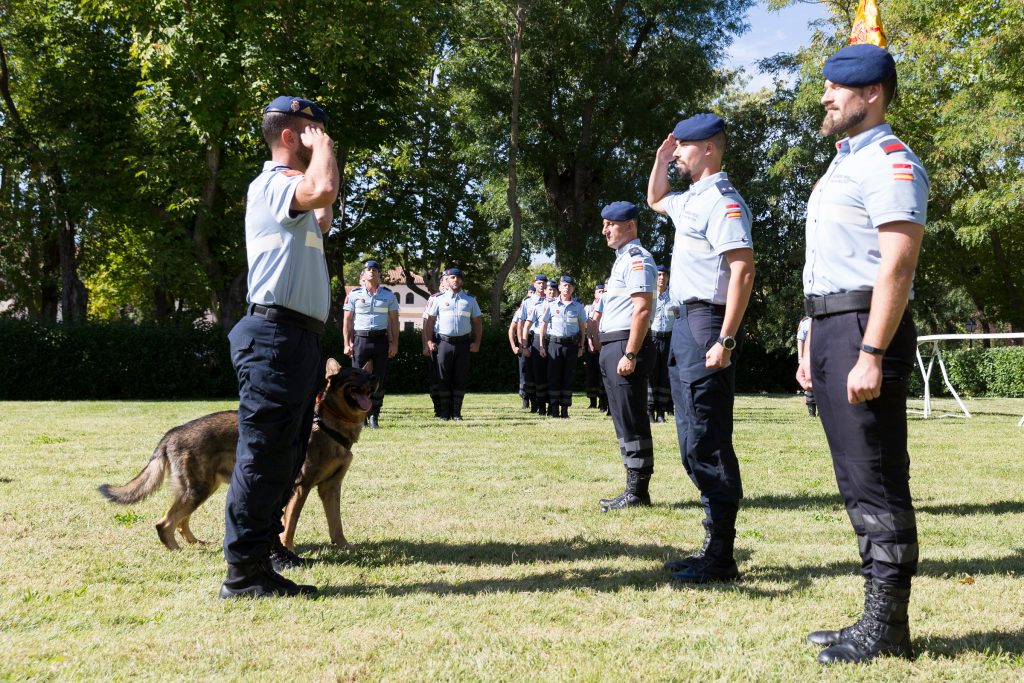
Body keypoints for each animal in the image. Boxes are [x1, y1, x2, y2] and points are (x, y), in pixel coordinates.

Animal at [97, 360, 378, 552]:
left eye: (365, 372)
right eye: (354, 374)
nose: (375, 377)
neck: (330, 424)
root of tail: (172, 433)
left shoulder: (330, 488)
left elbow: (336, 523)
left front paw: (344, 546)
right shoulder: (301, 487)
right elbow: (290, 525)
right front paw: (288, 550)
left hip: (203, 489)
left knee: (180, 521)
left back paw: (195, 543)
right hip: (197, 490)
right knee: (165, 522)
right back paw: (176, 551)